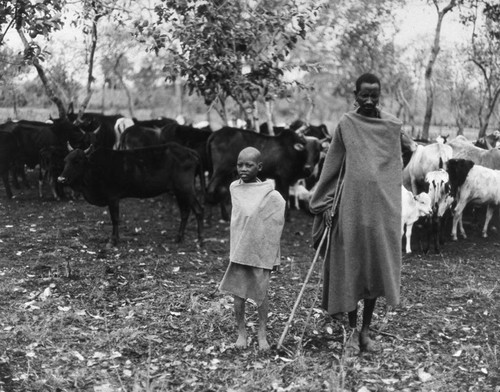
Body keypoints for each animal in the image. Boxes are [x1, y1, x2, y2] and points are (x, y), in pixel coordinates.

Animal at [58, 142, 205, 247]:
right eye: (65, 160)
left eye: (77, 161)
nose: (61, 179)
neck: (94, 168)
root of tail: (191, 152)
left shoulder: (113, 198)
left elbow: (115, 219)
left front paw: (113, 241)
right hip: (178, 191)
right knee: (185, 212)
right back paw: (178, 238)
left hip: (186, 189)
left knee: (198, 210)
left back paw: (200, 241)